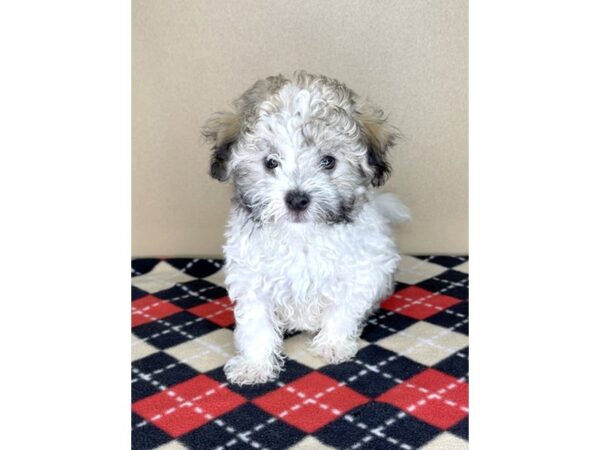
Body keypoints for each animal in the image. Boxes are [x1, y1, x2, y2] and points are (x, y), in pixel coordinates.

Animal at [203, 72, 408, 384]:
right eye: (270, 162)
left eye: (328, 161)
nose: (297, 199)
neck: (301, 236)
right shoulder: (251, 278)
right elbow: (256, 323)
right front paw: (255, 363)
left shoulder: (362, 270)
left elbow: (342, 309)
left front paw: (333, 344)